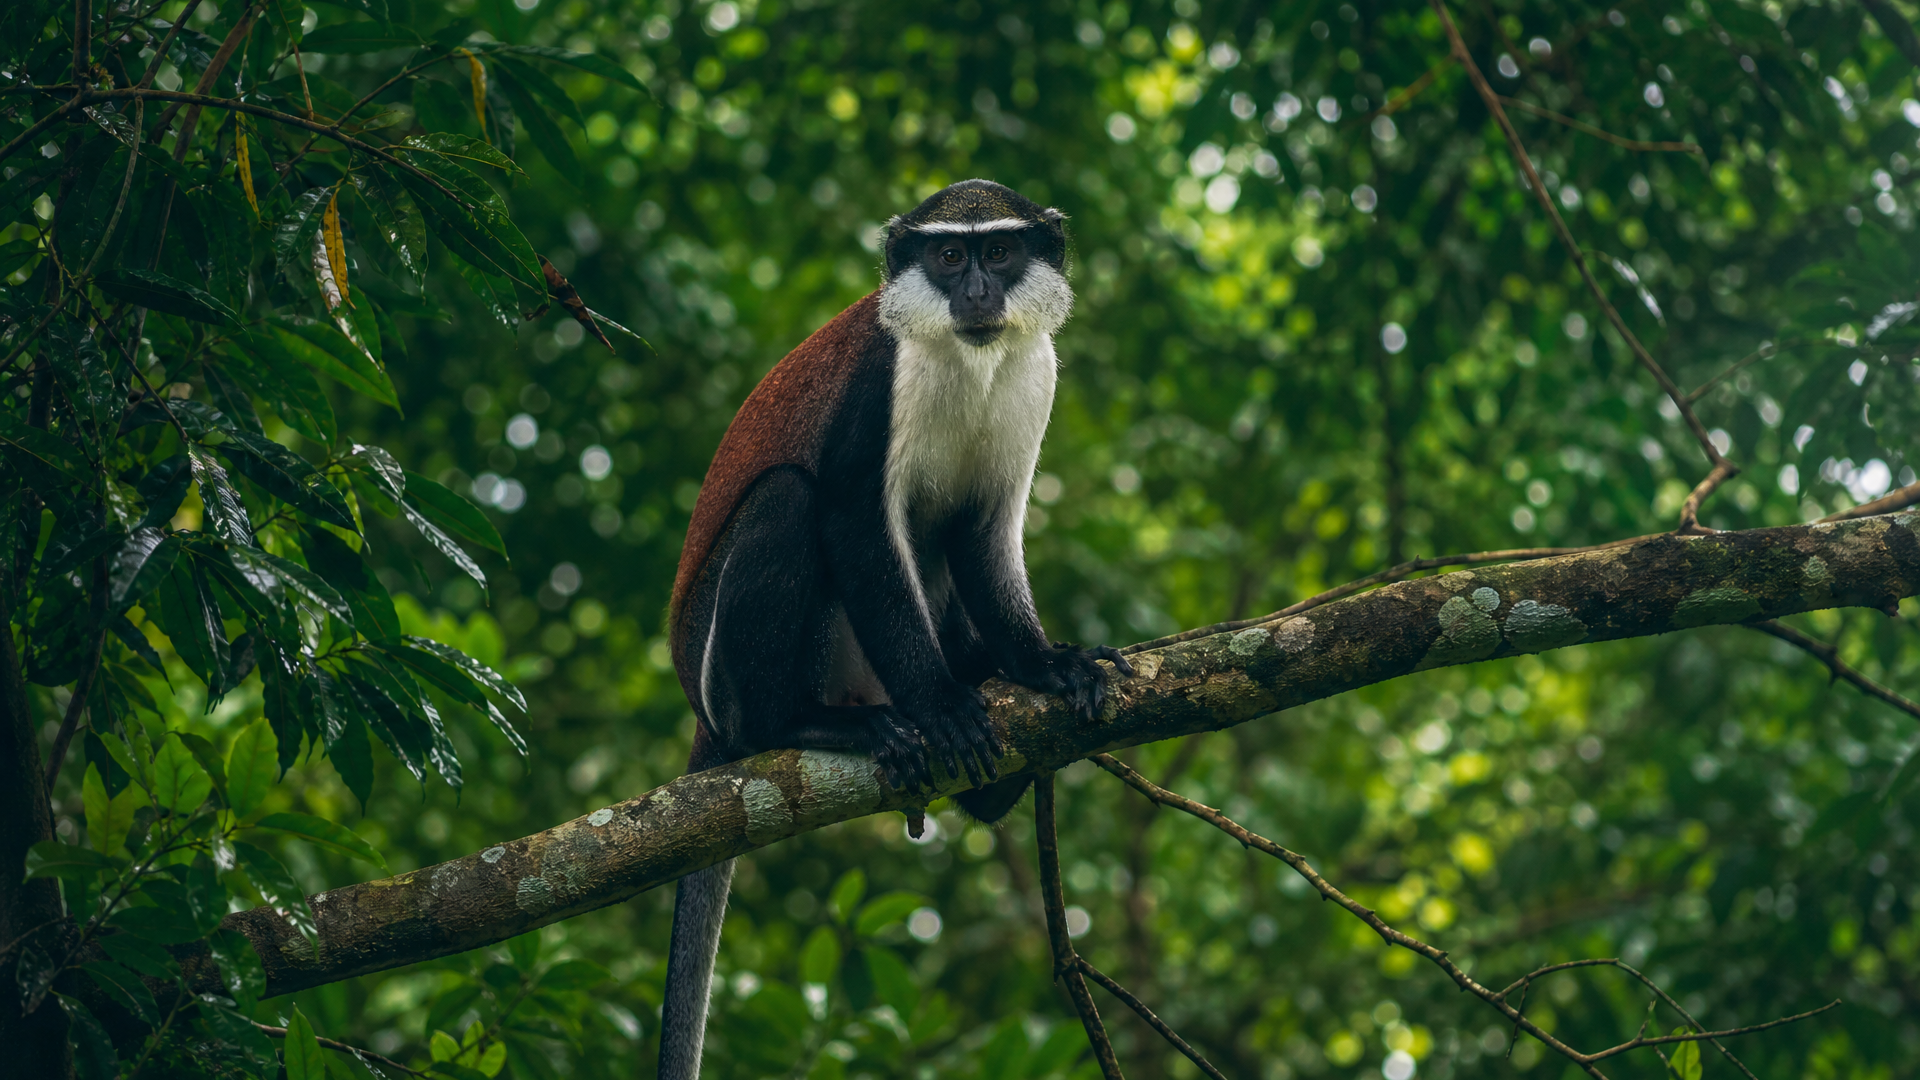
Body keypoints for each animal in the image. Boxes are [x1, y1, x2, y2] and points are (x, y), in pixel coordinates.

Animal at [657, 179, 1132, 1080]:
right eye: (949, 255)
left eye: (999, 252)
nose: (977, 294)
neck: (968, 360)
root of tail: (702, 716)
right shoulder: (879, 382)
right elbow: (854, 524)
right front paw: (942, 706)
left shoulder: (1037, 374)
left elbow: (982, 532)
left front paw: (1043, 665)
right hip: (726, 672)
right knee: (788, 499)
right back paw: (801, 724)